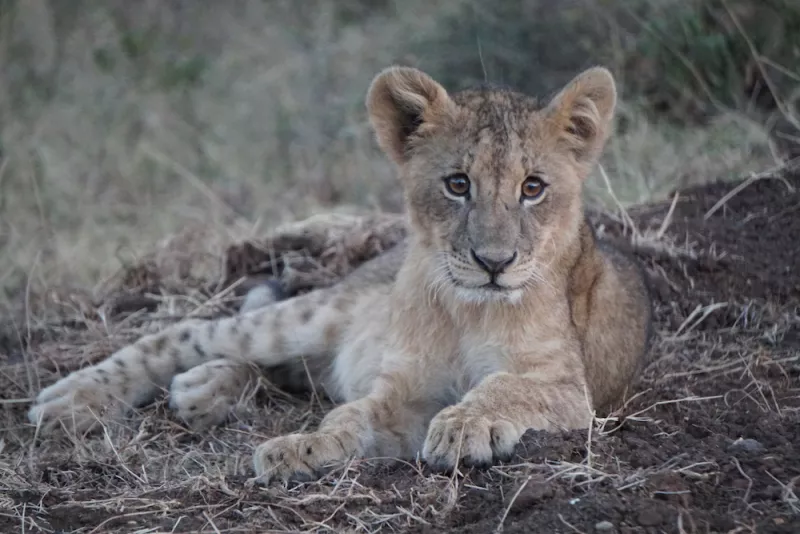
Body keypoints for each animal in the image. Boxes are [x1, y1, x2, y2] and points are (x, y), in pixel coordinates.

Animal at [28, 65, 652, 484]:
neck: (466, 308)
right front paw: (302, 446)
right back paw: (69, 401)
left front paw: (462, 427)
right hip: (314, 312)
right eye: (457, 184)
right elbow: (350, 416)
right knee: (186, 333)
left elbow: (507, 386)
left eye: (533, 188)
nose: (493, 264)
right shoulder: (403, 389)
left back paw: (200, 390)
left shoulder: (572, 392)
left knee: (272, 368)